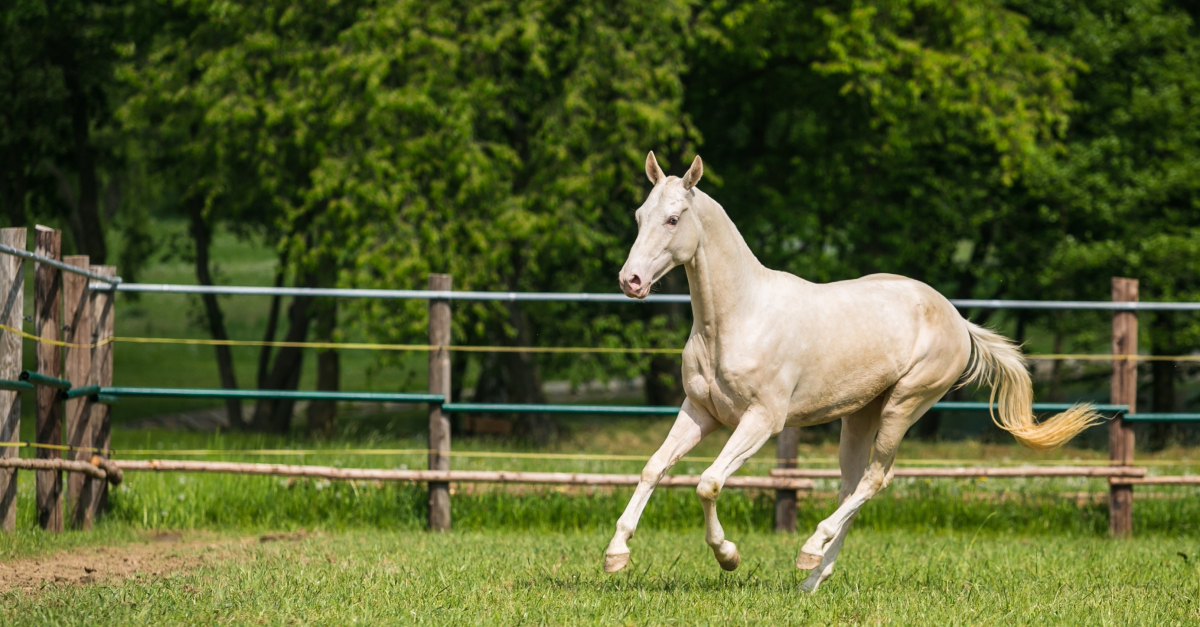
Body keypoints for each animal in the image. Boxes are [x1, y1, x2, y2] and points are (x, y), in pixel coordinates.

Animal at [604, 152, 1099, 590]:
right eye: (639, 215)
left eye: (673, 219)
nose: (630, 281)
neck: (737, 317)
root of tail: (958, 320)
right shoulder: (701, 413)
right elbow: (652, 468)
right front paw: (615, 554)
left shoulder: (763, 420)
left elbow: (708, 483)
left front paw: (728, 556)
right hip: (860, 414)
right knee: (852, 484)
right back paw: (812, 579)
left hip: (903, 405)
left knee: (875, 479)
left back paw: (810, 551)